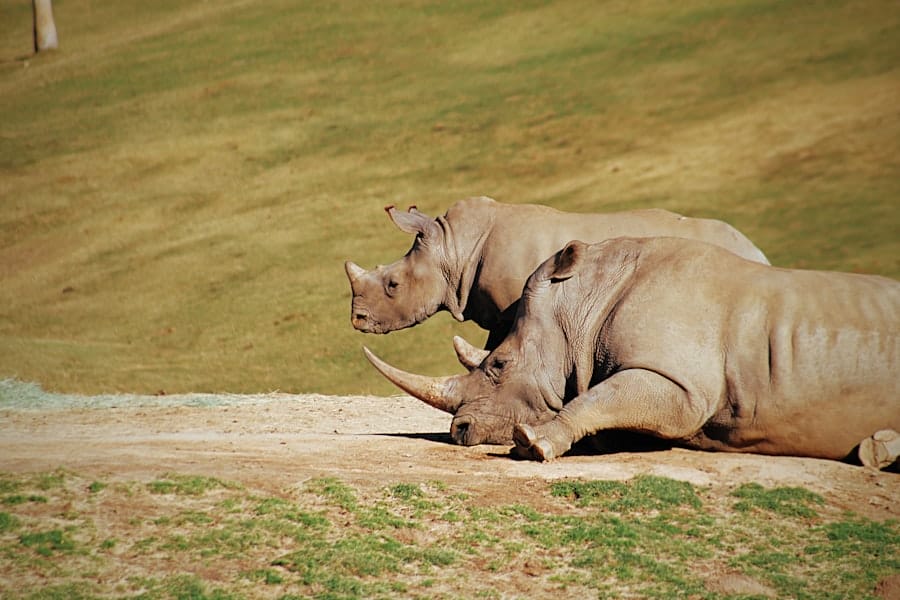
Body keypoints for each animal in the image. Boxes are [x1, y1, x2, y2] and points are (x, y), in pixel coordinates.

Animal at [364, 237, 900, 466]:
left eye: (498, 364)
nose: (459, 431)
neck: (584, 302)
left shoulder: (680, 385)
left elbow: (599, 398)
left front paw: (533, 444)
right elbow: (603, 403)